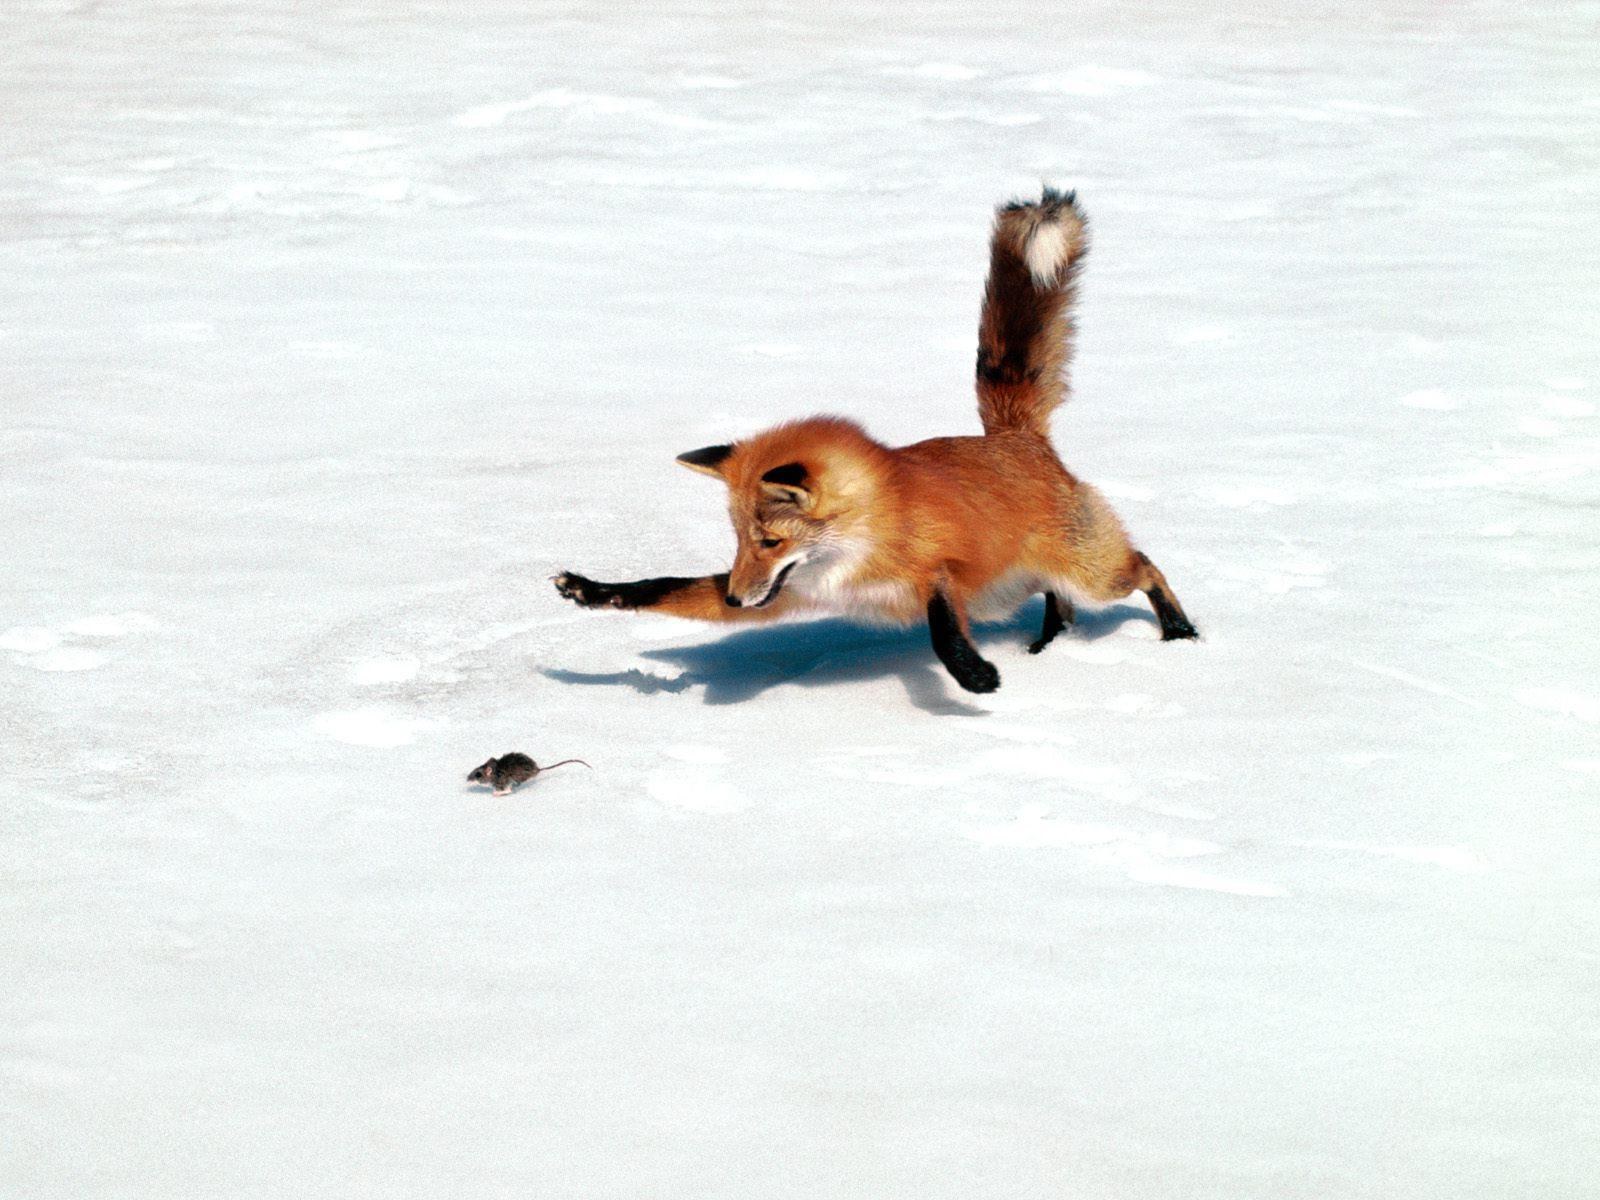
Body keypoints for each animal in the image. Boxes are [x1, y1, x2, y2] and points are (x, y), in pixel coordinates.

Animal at [553, 187, 1198, 694]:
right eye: (737, 541)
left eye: (769, 540)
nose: (736, 599)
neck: (860, 544)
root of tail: (1015, 436)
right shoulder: (786, 593)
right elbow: (660, 587)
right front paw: (592, 590)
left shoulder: (941, 570)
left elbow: (940, 625)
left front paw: (972, 675)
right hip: (1023, 586)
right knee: (1060, 603)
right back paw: (1048, 646)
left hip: (1091, 573)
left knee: (1144, 567)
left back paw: (1181, 632)